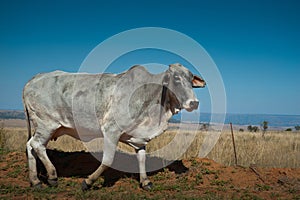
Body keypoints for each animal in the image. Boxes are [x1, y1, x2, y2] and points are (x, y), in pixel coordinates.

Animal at [23, 63, 205, 190]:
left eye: (191, 80)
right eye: (176, 78)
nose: (194, 103)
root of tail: (33, 80)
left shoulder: (138, 138)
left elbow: (142, 158)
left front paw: (145, 182)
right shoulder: (111, 131)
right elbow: (108, 160)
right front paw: (88, 182)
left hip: (44, 127)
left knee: (30, 146)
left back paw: (36, 181)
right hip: (47, 124)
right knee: (37, 145)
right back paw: (52, 177)